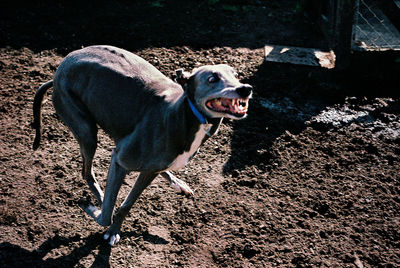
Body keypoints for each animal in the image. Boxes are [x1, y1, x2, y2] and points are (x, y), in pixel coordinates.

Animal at [32, 45, 252, 246]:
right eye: (212, 79)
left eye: (236, 75)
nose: (245, 88)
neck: (183, 114)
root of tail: (58, 71)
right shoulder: (120, 161)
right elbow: (107, 214)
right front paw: (98, 212)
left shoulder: (148, 171)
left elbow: (127, 204)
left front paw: (114, 227)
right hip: (86, 132)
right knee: (87, 173)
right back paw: (100, 198)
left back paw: (177, 183)